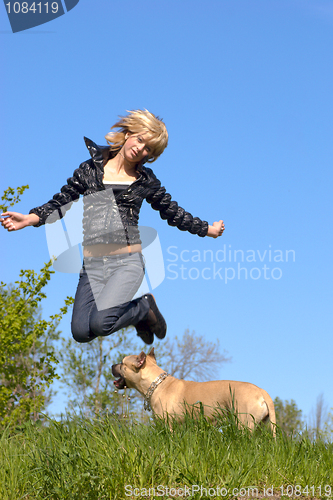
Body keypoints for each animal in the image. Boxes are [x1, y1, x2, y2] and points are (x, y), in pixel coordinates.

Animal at [111, 348, 274, 434]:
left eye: (122, 363)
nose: (112, 365)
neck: (156, 384)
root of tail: (261, 391)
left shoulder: (168, 425)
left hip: (244, 423)